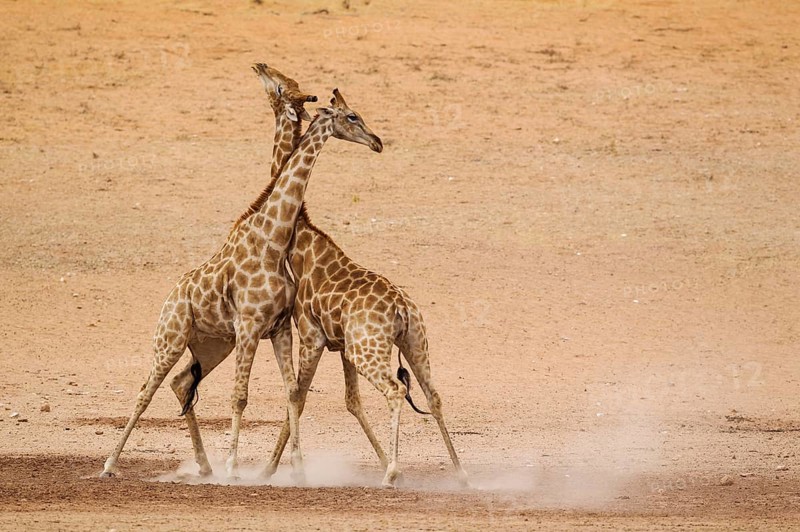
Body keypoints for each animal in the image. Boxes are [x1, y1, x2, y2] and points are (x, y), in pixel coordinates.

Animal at [100, 68, 383, 480]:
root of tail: (171, 296)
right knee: (145, 390)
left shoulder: (279, 328)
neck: (275, 238)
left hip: (213, 344)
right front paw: (235, 467)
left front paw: (296, 470)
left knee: (179, 385)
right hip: (171, 337)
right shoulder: (251, 326)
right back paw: (109, 465)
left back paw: (205, 466)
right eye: (352, 116)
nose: (378, 142)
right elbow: (241, 396)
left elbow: (291, 393)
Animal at [259, 91, 467, 486]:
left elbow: (298, 397)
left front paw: (274, 468)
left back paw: (391, 473)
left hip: (369, 350)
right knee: (433, 396)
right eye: (353, 116)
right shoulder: (340, 345)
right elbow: (349, 401)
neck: (301, 244)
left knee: (396, 391)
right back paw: (461, 474)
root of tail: (401, 307)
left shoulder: (312, 337)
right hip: (414, 342)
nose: (377, 142)